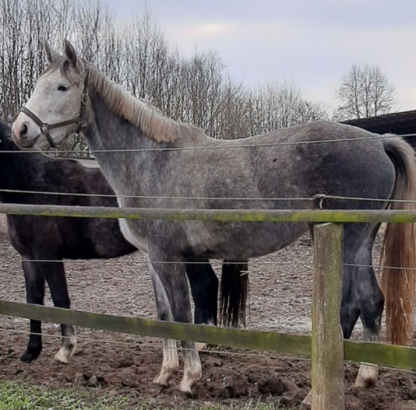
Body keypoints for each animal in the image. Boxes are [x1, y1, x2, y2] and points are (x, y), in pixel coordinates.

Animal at [11, 40, 416, 394]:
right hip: (352, 240)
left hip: (349, 238)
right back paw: (361, 378)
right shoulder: (153, 258)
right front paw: (165, 374)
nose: (20, 129)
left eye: (62, 87)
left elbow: (182, 313)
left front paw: (188, 378)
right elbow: (164, 315)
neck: (151, 160)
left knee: (354, 305)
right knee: (365, 302)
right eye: (38, 84)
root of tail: (379, 141)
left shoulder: (168, 255)